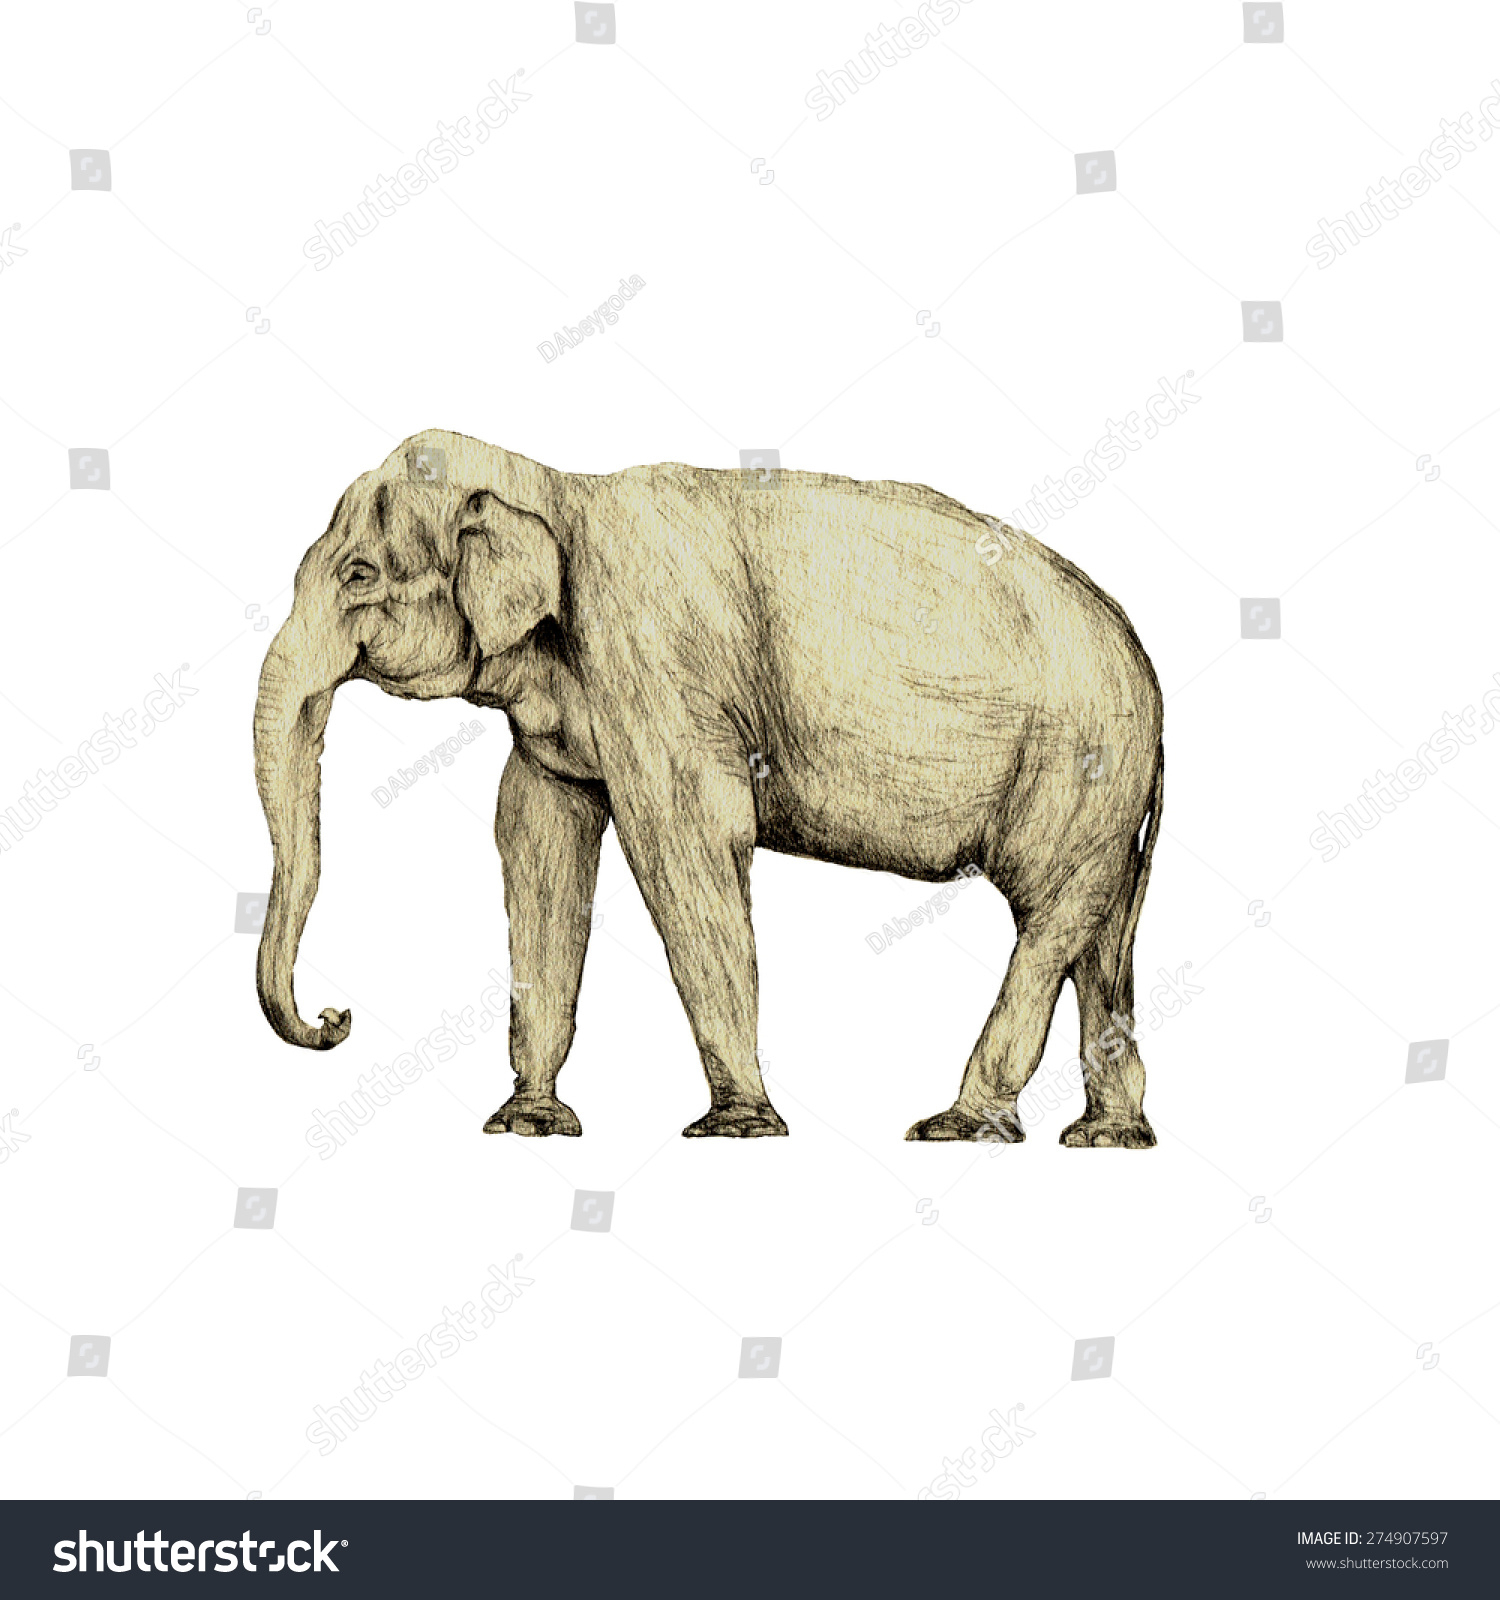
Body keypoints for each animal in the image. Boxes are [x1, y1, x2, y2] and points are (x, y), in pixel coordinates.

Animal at [253, 428, 1164, 1146]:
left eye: (359, 575)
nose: (336, 1019)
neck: (555, 485)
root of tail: (1145, 667)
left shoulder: (659, 672)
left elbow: (687, 846)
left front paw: (737, 1128)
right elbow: (538, 845)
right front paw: (527, 1124)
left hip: (1078, 763)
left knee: (1048, 913)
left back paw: (957, 1129)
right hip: (1110, 793)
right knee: (1105, 937)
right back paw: (1107, 1139)